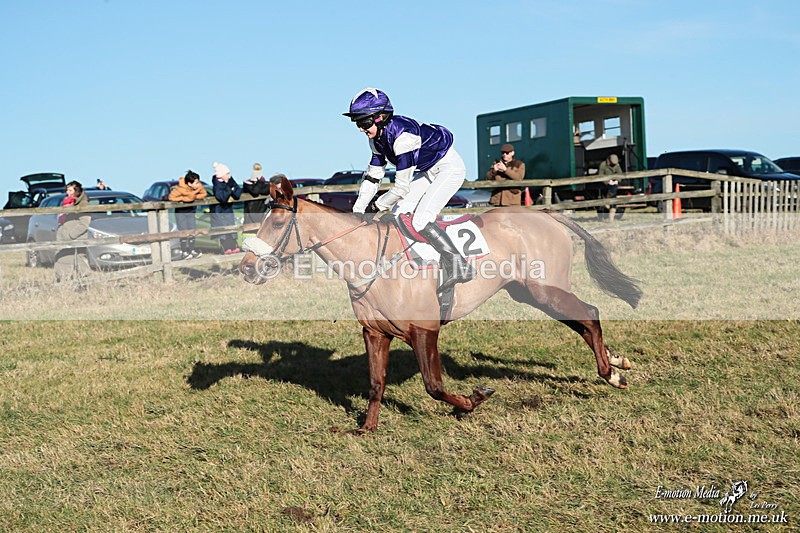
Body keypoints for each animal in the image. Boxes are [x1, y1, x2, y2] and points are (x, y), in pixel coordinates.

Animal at [239, 176, 642, 433]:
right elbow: (375, 383)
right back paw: (617, 362)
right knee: (582, 320)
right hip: (528, 292)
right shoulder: (374, 333)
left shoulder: (424, 330)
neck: (369, 259)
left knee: (589, 314)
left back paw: (610, 373)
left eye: (277, 224)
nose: (247, 268)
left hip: (545, 290)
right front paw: (366, 428)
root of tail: (544, 214)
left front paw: (474, 399)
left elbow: (433, 385)